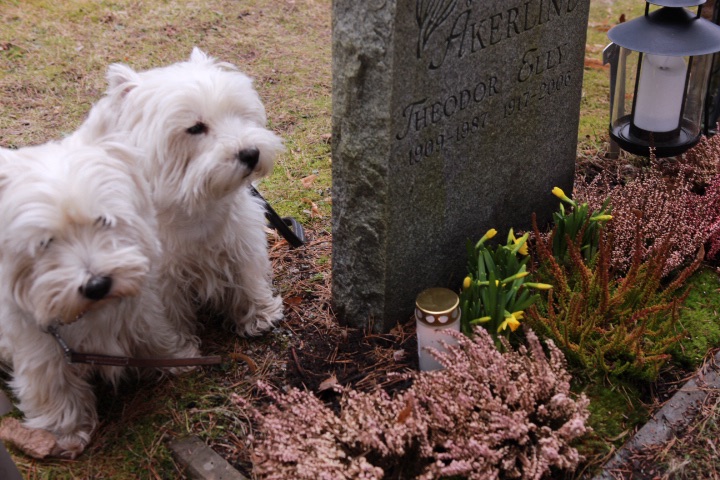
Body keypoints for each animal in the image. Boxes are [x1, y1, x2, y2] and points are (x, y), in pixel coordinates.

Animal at [0, 139, 199, 458]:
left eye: (104, 220)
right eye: (46, 241)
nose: (97, 285)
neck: (91, 311)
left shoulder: (140, 314)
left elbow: (155, 336)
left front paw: (180, 359)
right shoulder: (40, 347)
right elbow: (54, 386)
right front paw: (66, 433)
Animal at [71, 48, 285, 339]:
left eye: (239, 115)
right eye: (195, 128)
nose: (251, 154)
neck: (192, 202)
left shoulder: (241, 237)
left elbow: (247, 275)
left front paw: (260, 315)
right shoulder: (158, 276)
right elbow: (168, 313)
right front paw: (180, 345)